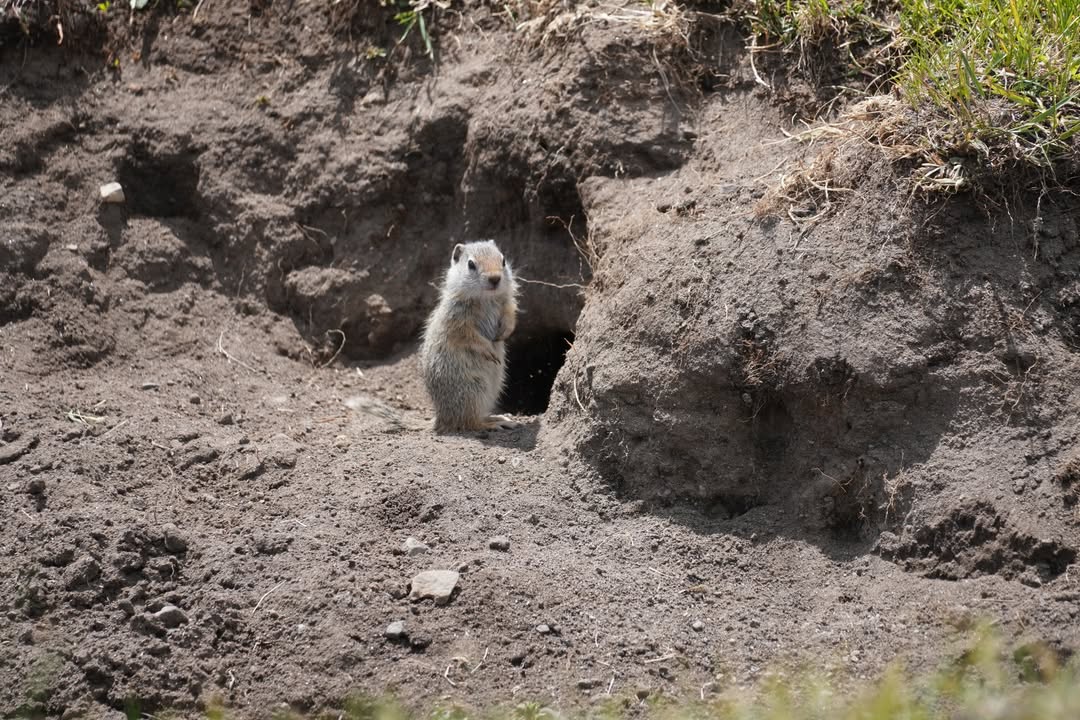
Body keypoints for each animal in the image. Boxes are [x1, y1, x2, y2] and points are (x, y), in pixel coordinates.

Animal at [344, 240, 519, 433]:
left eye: (503, 260)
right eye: (471, 264)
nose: (495, 279)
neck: (486, 298)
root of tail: (441, 418)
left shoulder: (506, 303)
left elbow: (510, 313)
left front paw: (506, 331)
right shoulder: (456, 321)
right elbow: (469, 337)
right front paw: (488, 349)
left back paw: (498, 417)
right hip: (473, 389)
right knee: (468, 422)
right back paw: (492, 423)